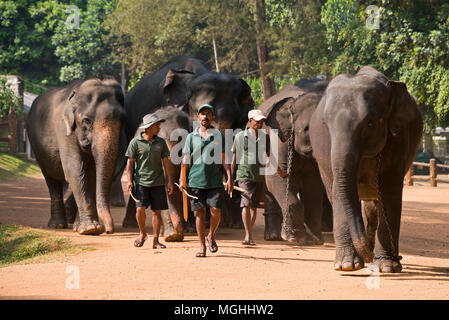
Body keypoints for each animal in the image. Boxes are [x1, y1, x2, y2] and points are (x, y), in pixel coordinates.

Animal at [26, 78, 125, 235]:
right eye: (87, 120)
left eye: (123, 119)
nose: (109, 231)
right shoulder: (64, 130)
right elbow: (75, 170)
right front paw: (91, 229)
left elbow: (92, 174)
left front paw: (86, 227)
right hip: (37, 148)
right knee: (51, 180)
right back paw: (57, 225)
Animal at [258, 79, 328, 244]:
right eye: (307, 128)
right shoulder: (277, 139)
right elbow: (276, 178)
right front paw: (294, 237)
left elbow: (314, 184)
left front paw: (316, 239)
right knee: (269, 188)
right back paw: (273, 236)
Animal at [310, 67, 422, 272]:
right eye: (326, 125)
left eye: (370, 123)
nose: (369, 257)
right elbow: (338, 189)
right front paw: (347, 266)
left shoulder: (399, 137)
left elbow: (390, 190)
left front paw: (386, 267)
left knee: (374, 203)